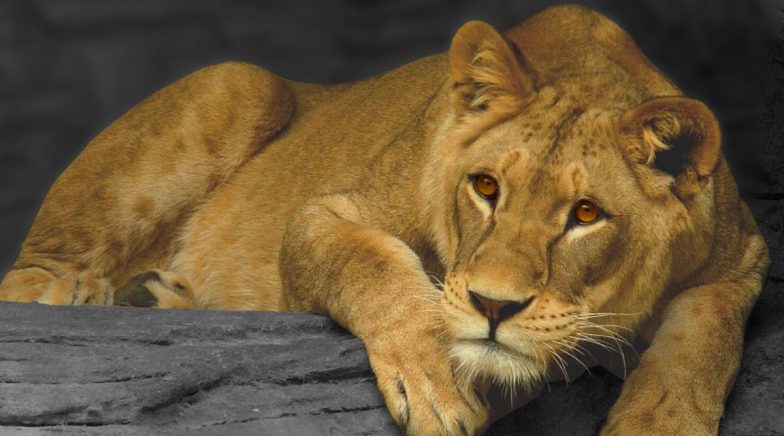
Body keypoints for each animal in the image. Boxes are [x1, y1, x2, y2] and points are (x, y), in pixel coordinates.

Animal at [0, 5, 768, 435]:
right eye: (485, 187)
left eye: (586, 214)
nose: (493, 305)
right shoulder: (326, 211)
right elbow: (374, 268)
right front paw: (436, 382)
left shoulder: (746, 256)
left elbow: (706, 332)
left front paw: (659, 422)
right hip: (238, 83)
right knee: (25, 276)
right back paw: (80, 292)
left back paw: (161, 298)